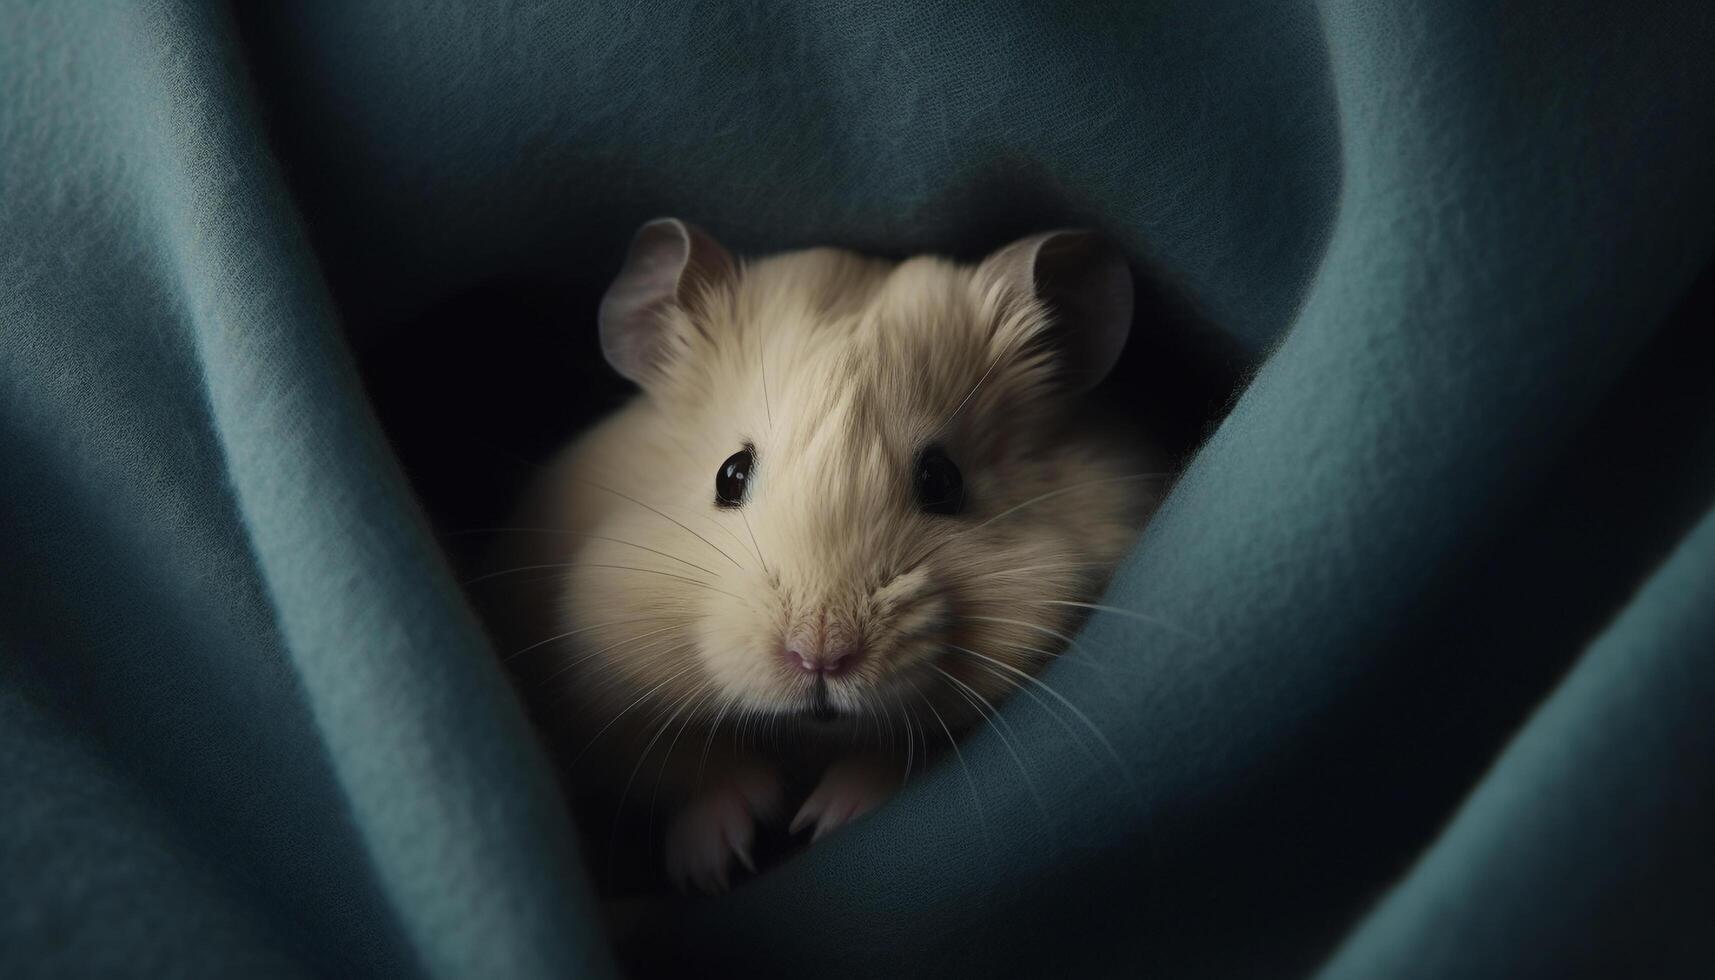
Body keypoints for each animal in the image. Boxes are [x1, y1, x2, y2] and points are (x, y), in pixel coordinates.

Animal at [497, 218, 1166, 892]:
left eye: (943, 481)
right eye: (729, 475)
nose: (819, 656)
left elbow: (898, 754)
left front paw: (823, 818)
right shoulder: (586, 687)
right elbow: (685, 765)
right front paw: (711, 865)